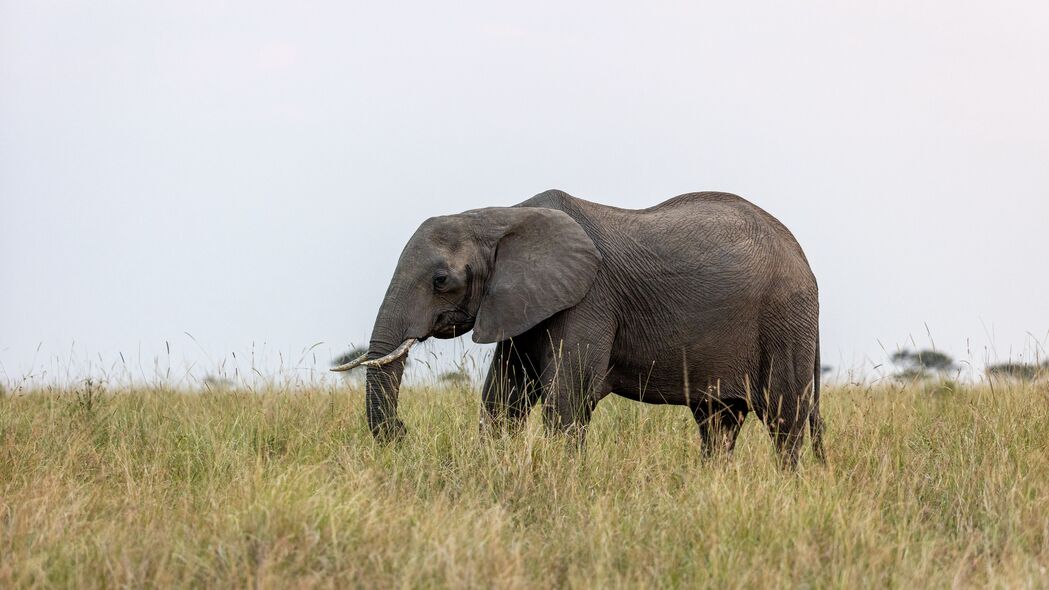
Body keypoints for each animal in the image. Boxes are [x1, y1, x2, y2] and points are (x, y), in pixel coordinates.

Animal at [331, 187, 822, 464]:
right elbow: (503, 397)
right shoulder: (521, 304)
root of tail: (803, 258)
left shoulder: (589, 299)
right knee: (718, 423)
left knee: (784, 418)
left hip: (785, 320)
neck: (503, 216)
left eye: (441, 280)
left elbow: (567, 397)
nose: (402, 432)